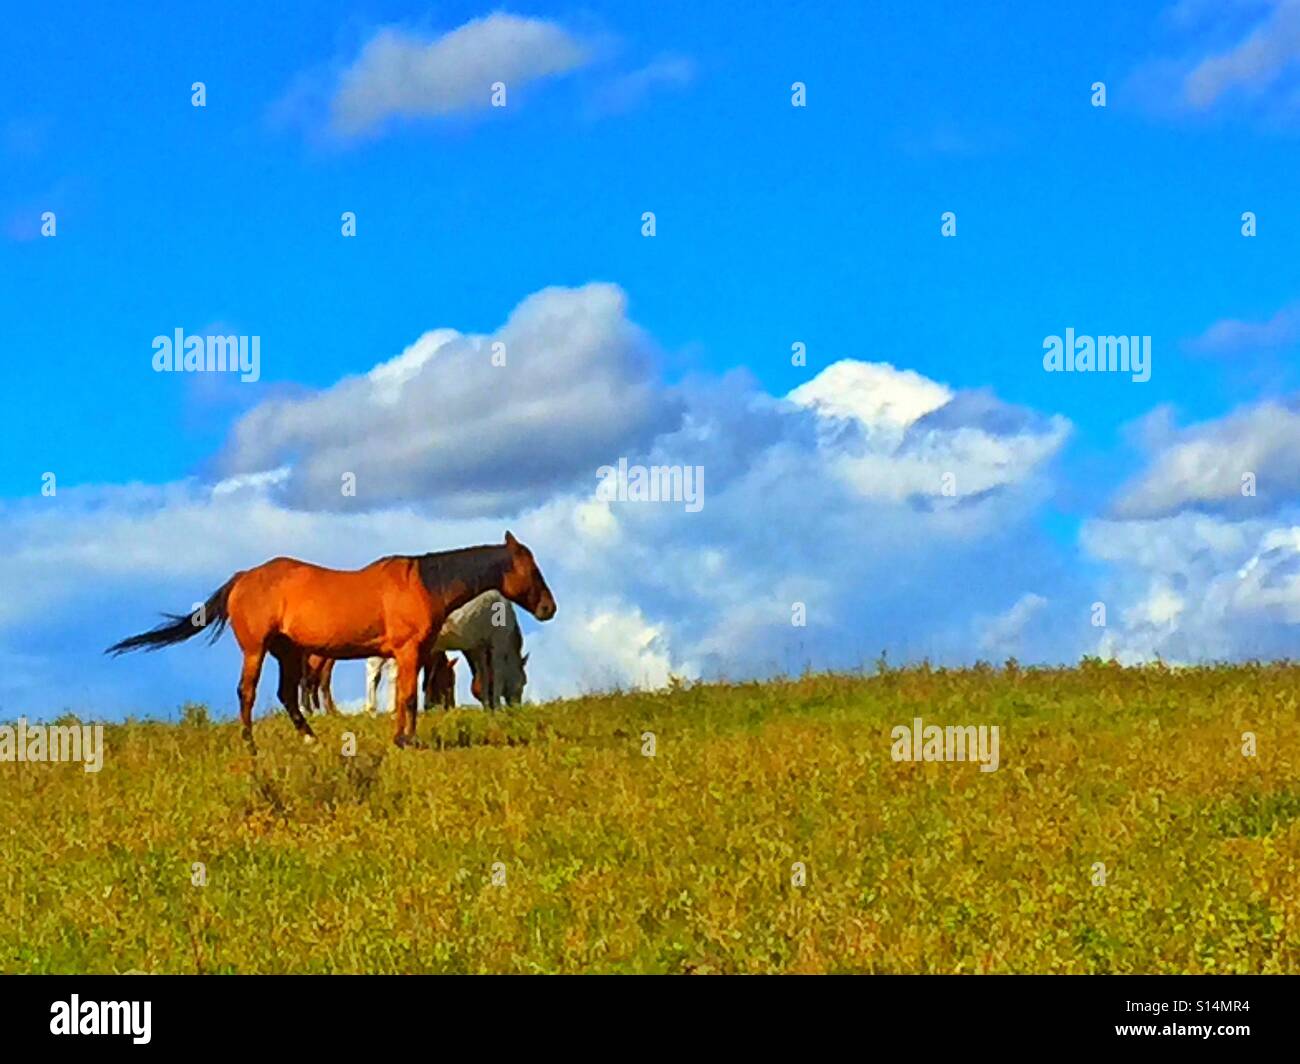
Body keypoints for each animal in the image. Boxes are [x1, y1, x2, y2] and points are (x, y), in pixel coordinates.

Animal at [365, 590, 526, 712]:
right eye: (523, 682)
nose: (517, 707)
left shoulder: (477, 648)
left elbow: (484, 674)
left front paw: (488, 708)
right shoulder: (498, 642)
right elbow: (497, 673)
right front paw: (498, 709)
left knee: (374, 672)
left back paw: (373, 710)